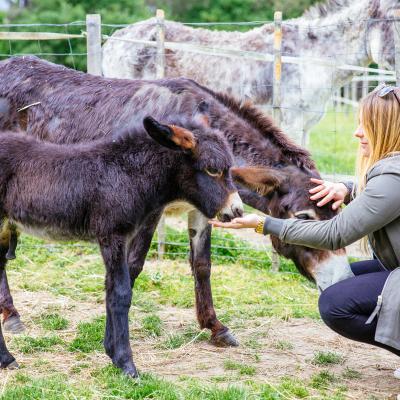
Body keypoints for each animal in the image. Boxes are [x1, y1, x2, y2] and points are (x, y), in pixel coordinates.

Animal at [0, 116, 241, 378]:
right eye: (212, 169)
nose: (237, 211)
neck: (127, 173)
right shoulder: (112, 235)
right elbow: (121, 292)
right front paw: (126, 363)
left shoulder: (122, 238)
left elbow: (111, 288)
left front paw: (111, 351)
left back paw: (6, 358)